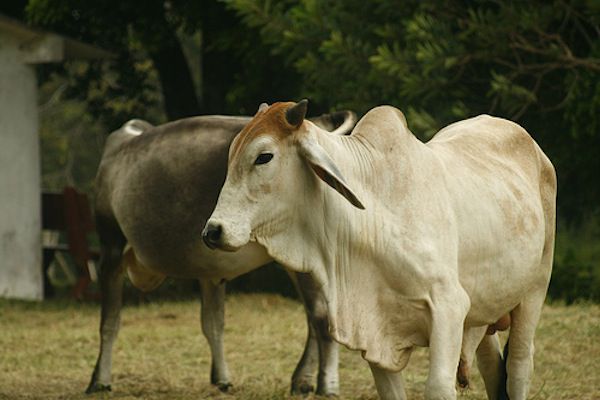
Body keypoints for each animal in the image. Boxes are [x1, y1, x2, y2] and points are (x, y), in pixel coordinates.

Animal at [85, 108, 356, 394]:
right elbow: (213, 322)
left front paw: (99, 379)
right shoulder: (209, 269)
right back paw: (302, 380)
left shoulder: (110, 248)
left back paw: (324, 383)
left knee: (320, 316)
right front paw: (221, 378)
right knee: (316, 317)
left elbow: (109, 321)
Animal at [204, 101, 556, 400]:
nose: (212, 231)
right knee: (493, 369)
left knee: (519, 365)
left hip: (534, 288)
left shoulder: (450, 306)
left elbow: (438, 387)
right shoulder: (375, 332)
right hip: (485, 308)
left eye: (264, 156)